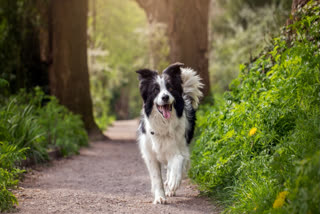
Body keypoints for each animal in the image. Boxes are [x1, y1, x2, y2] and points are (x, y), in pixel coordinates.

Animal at [135, 62, 202, 204]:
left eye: (170, 88)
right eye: (155, 90)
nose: (165, 97)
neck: (164, 124)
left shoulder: (180, 150)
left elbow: (178, 161)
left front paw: (172, 182)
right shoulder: (150, 155)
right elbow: (157, 178)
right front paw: (160, 197)